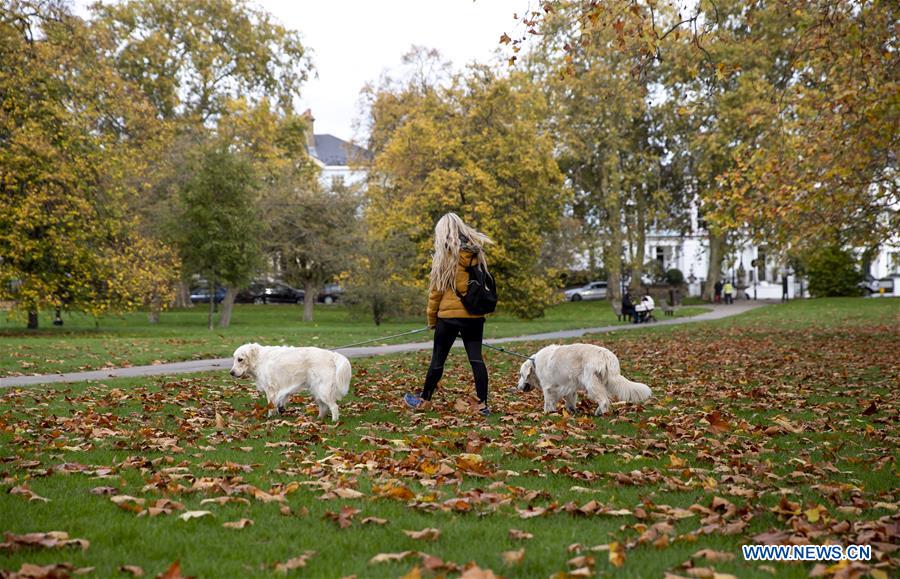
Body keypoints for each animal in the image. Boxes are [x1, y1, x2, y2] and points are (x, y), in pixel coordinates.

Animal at [516, 344, 652, 416]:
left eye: (521, 375)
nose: (518, 386)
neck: (535, 363)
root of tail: (606, 355)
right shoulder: (569, 387)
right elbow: (570, 401)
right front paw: (571, 411)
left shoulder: (548, 387)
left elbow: (548, 402)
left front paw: (547, 413)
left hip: (591, 383)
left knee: (604, 401)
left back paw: (601, 414)